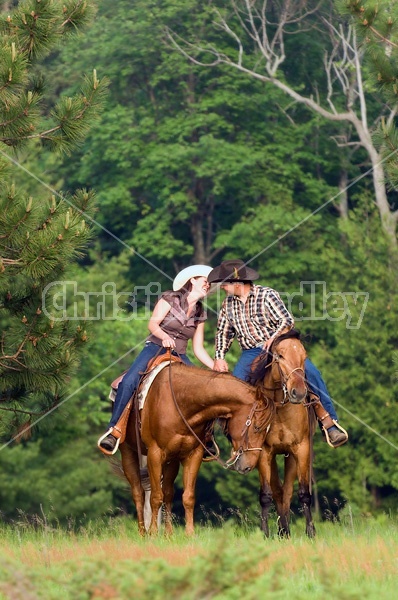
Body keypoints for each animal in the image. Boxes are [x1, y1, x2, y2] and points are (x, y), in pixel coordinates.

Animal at [119, 364, 274, 536]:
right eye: (256, 427)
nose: (248, 466)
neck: (180, 403)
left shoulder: (193, 455)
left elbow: (188, 496)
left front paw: (190, 533)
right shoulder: (155, 453)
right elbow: (155, 496)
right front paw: (152, 533)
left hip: (171, 461)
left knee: (168, 493)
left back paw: (168, 534)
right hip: (128, 453)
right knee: (138, 493)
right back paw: (142, 532)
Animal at [249, 332, 318, 540]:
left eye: (304, 357)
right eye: (280, 356)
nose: (299, 392)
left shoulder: (301, 449)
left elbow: (304, 493)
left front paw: (311, 532)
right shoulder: (264, 452)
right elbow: (266, 495)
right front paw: (265, 533)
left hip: (292, 457)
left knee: (286, 491)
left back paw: (285, 530)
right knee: (278, 492)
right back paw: (283, 531)